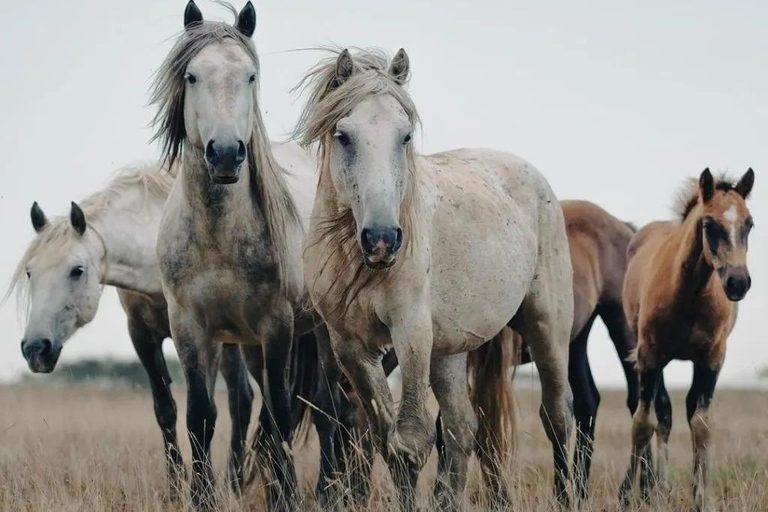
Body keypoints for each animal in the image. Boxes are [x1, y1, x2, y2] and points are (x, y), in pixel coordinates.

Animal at [150, 2, 319, 509]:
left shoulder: (277, 324)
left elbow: (281, 413)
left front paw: (287, 496)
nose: (225, 154)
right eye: (191, 76)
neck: (218, 238)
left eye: (249, 75)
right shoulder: (190, 328)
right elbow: (201, 415)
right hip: (247, 346)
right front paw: (202, 496)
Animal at [296, 48, 574, 509]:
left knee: (558, 416)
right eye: (344, 136)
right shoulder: (350, 345)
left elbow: (411, 439)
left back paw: (569, 494)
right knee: (462, 429)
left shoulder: (411, 332)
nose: (382, 239)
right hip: (448, 351)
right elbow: (389, 440)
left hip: (547, 326)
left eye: (405, 136)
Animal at [618, 168, 754, 511]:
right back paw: (660, 489)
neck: (688, 293)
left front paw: (702, 498)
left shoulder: (712, 359)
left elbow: (702, 425)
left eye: (749, 223)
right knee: (663, 415)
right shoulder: (649, 355)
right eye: (708, 224)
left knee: (689, 411)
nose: (738, 282)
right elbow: (643, 422)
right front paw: (626, 496)